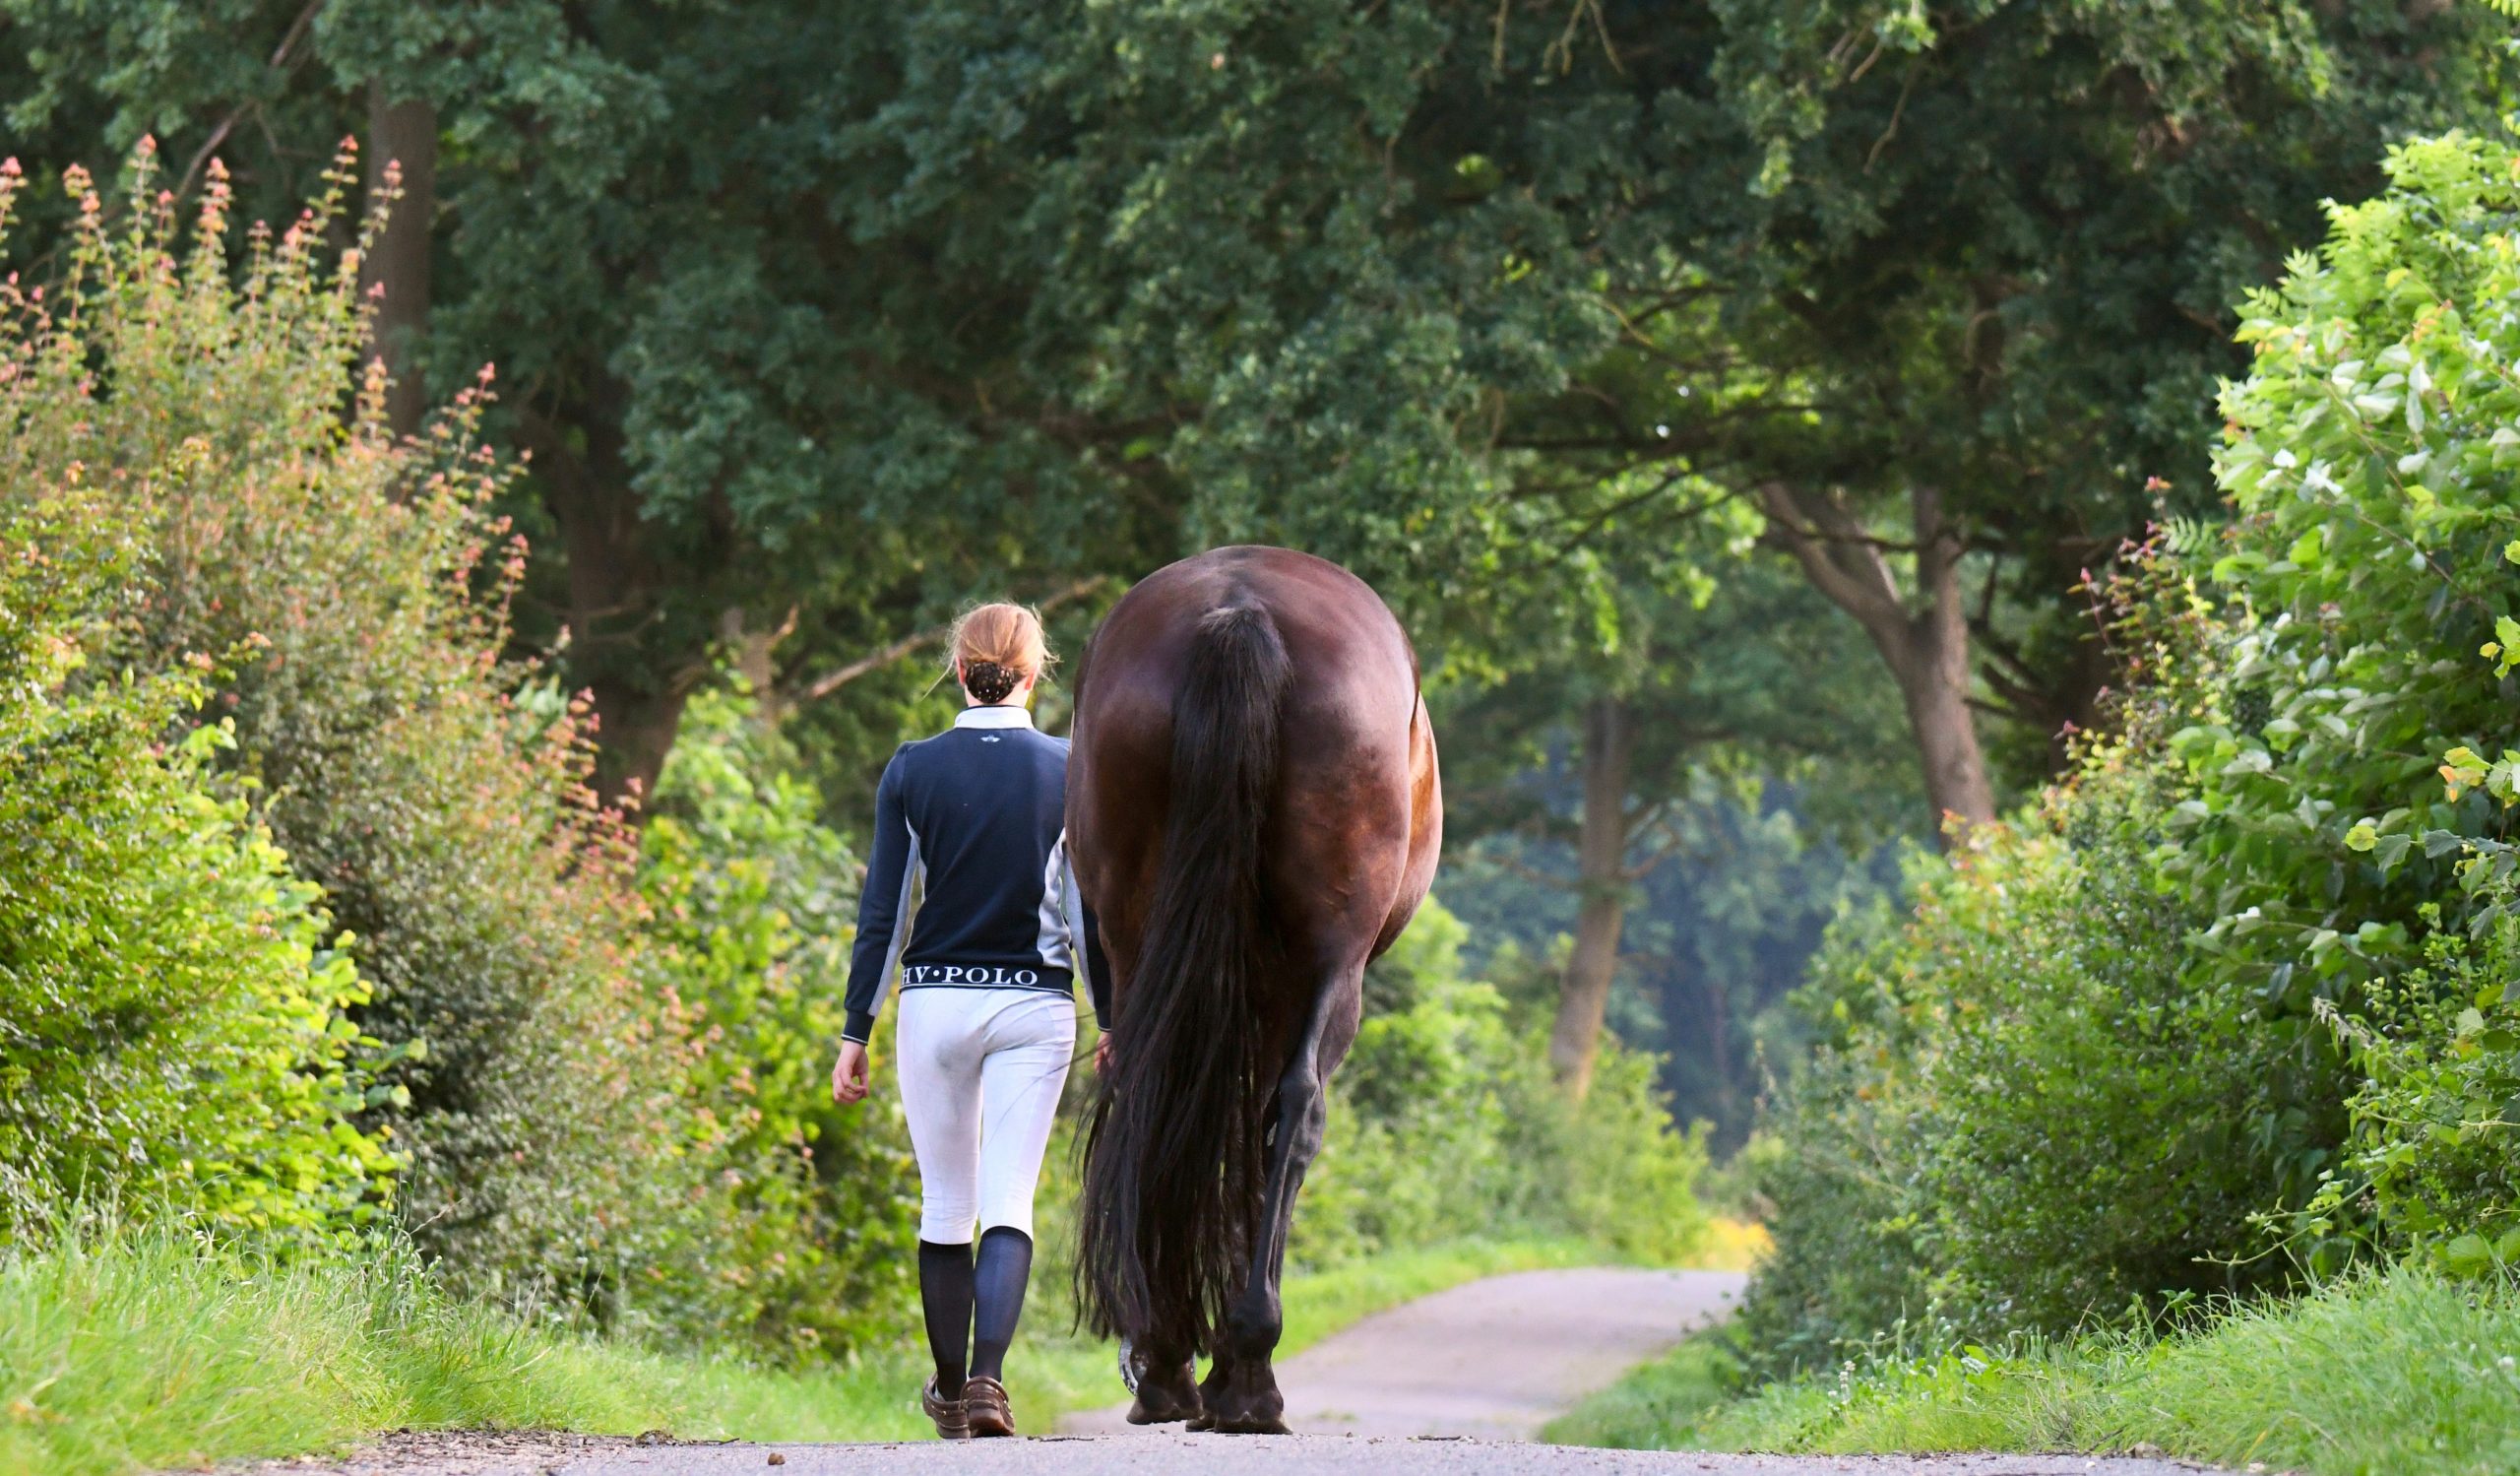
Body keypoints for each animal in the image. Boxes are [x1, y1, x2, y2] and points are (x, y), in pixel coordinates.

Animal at [1067, 544, 1442, 1434]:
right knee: (1293, 1108)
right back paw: (1234, 1371)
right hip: (1331, 959)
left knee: (1173, 1096)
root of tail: (1243, 615)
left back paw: (1194, 1363)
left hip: (1151, 933)